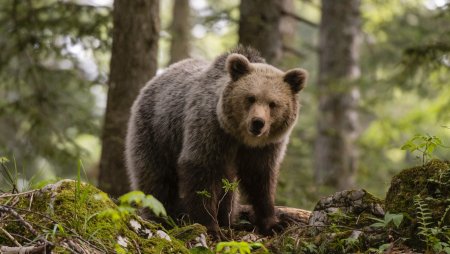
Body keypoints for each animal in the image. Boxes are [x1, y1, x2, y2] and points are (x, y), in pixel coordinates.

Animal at [126, 45, 310, 236]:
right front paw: (209, 226)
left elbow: (260, 180)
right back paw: (163, 218)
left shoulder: (265, 147)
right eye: (250, 98)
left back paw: (227, 220)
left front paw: (273, 224)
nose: (258, 123)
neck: (240, 137)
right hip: (157, 133)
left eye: (273, 103)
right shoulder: (210, 130)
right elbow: (200, 170)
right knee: (156, 179)